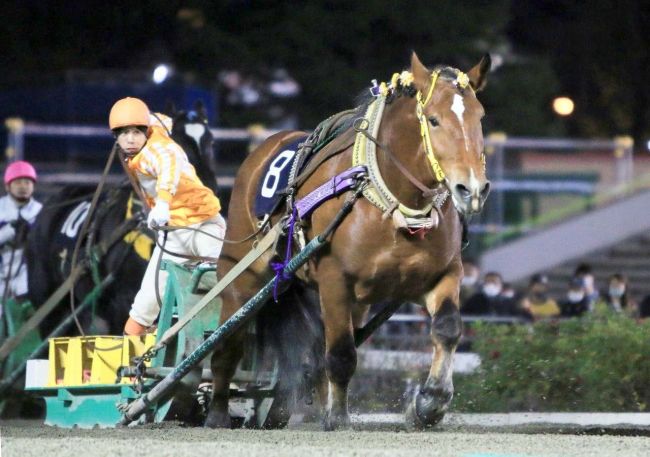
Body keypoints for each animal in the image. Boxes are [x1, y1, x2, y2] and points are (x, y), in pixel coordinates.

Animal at [210, 52, 488, 428]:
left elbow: (447, 328)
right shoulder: (334, 280)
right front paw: (339, 418)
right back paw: (217, 413)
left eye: (479, 117)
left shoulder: (441, 275)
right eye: (433, 120)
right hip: (242, 276)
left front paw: (430, 402)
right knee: (228, 343)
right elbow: (341, 353)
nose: (472, 189)